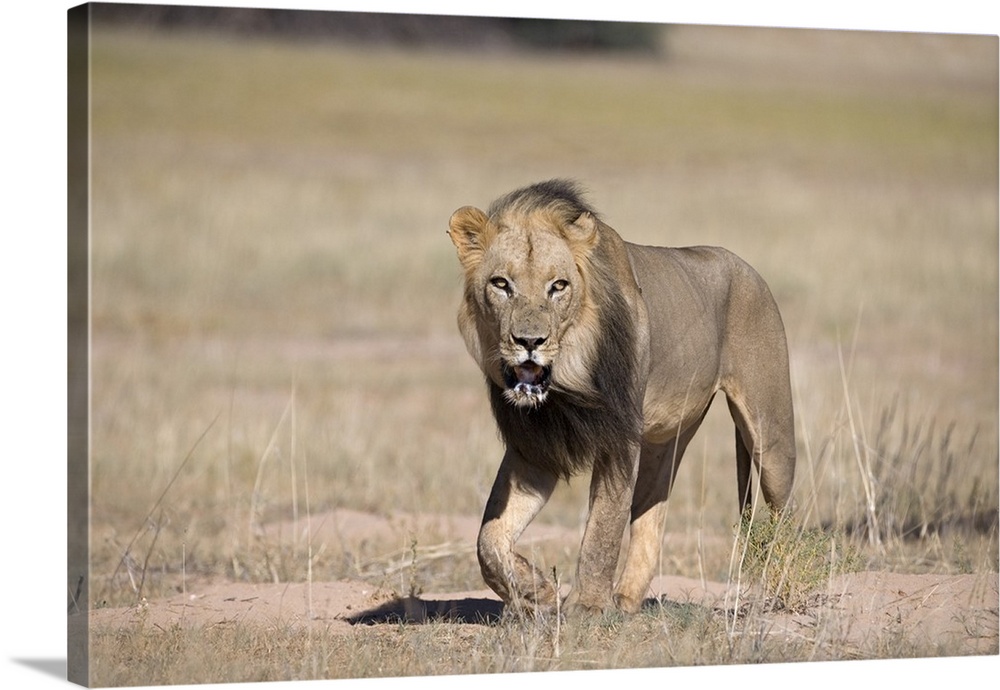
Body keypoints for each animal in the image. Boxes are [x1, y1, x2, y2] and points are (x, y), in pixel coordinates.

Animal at [450, 179, 792, 612]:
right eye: (500, 284)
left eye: (558, 286)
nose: (529, 342)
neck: (567, 384)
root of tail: (747, 267)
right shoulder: (535, 448)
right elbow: (488, 538)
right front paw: (535, 589)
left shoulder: (620, 435)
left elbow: (604, 527)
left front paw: (588, 606)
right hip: (666, 438)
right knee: (652, 512)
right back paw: (627, 599)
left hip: (771, 437)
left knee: (784, 514)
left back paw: (780, 588)